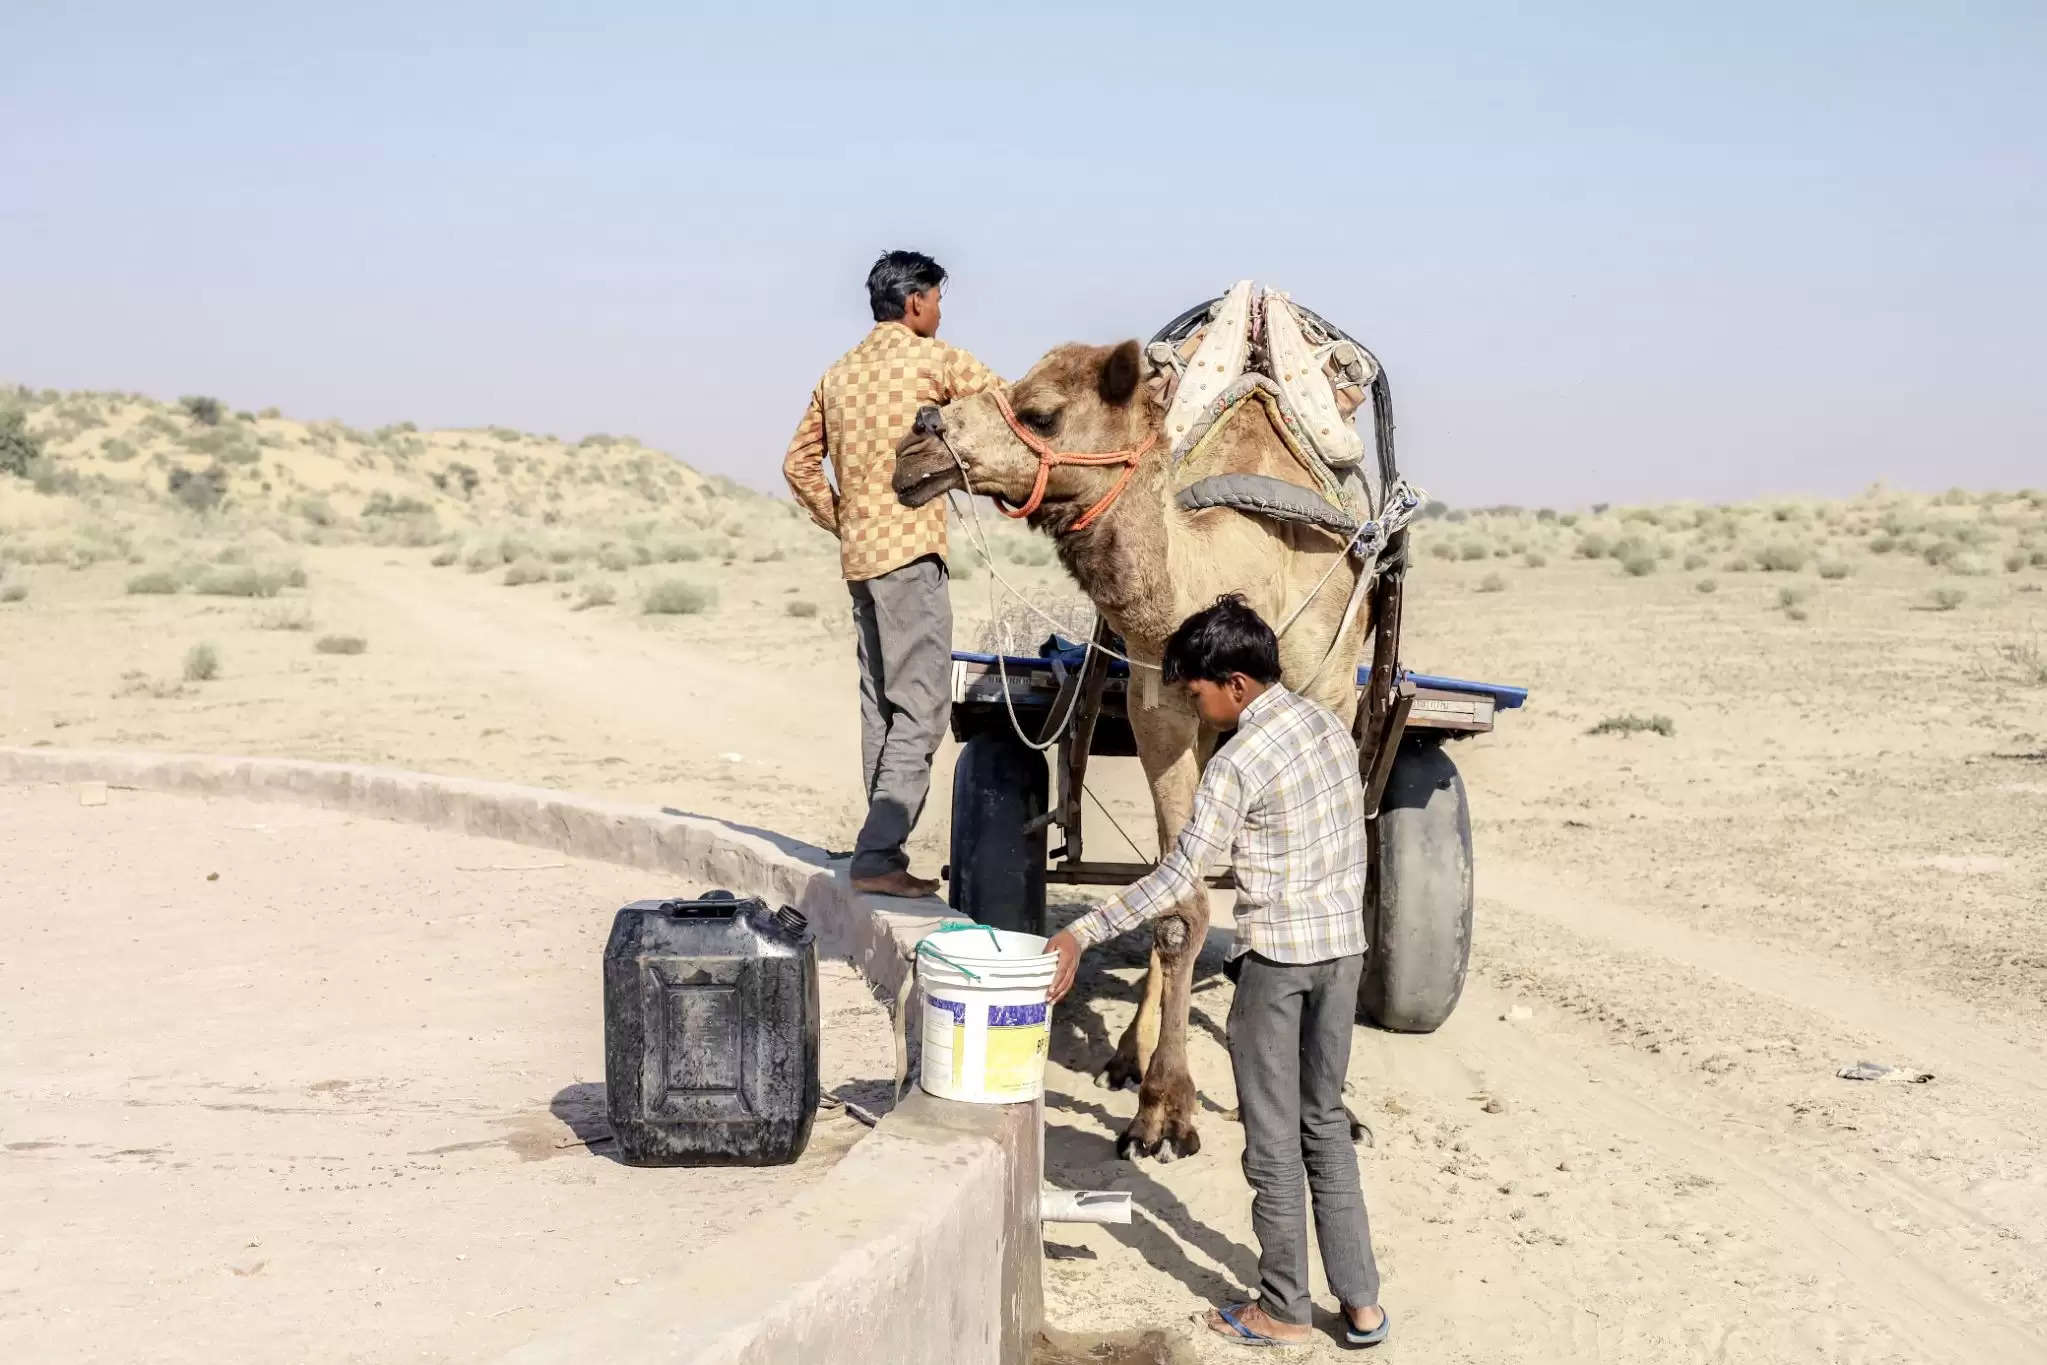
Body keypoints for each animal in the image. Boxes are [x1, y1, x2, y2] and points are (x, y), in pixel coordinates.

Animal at [892, 333, 1383, 1162]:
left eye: (1039, 412)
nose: (913, 445)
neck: (1248, 560)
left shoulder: (1328, 696)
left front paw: (1336, 1099)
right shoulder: (1161, 707)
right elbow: (1176, 901)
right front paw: (1163, 1108)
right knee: (1169, 871)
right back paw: (1128, 1052)